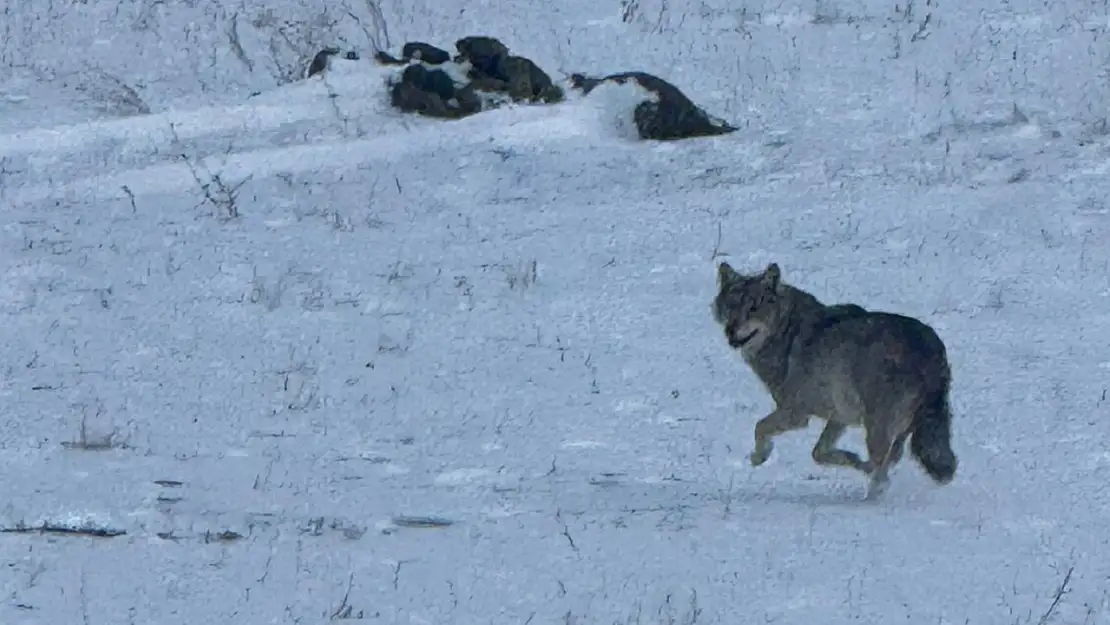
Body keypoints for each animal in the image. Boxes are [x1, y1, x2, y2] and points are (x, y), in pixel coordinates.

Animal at [714, 261, 959, 501]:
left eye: (753, 308)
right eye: (730, 306)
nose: (730, 331)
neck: (786, 331)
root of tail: (931, 350)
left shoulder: (795, 414)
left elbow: (760, 427)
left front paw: (759, 456)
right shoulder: (839, 416)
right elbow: (818, 453)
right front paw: (852, 459)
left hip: (877, 429)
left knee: (881, 470)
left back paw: (870, 500)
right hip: (904, 429)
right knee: (892, 458)